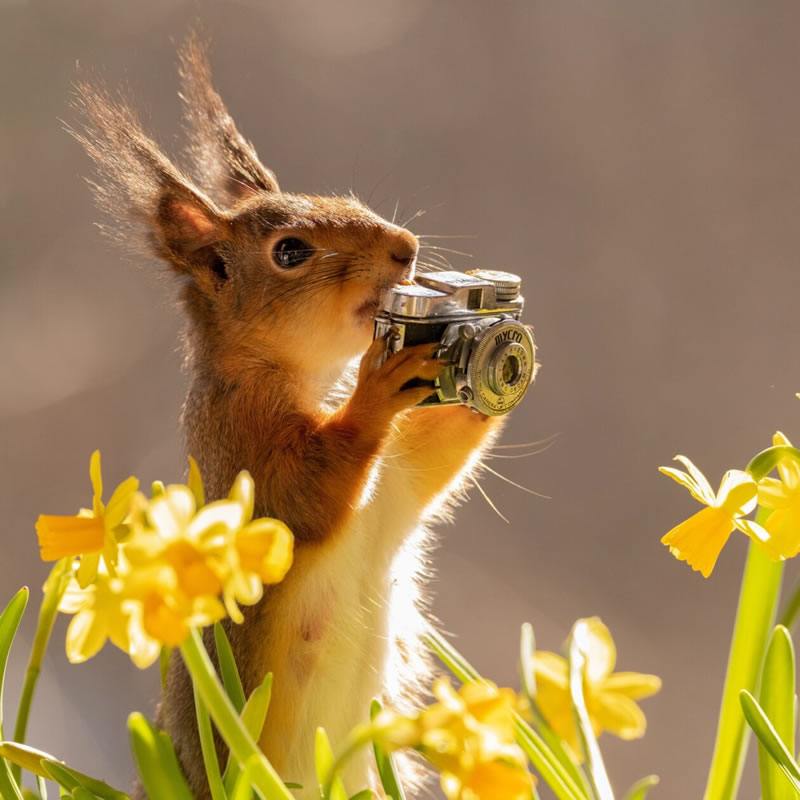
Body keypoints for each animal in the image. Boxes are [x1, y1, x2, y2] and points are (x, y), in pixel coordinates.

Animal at [72, 32, 536, 800]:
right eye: (289, 250)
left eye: (346, 196)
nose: (407, 248)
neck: (303, 380)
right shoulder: (243, 451)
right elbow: (305, 494)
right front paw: (377, 389)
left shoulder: (396, 483)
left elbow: (430, 464)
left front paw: (497, 329)